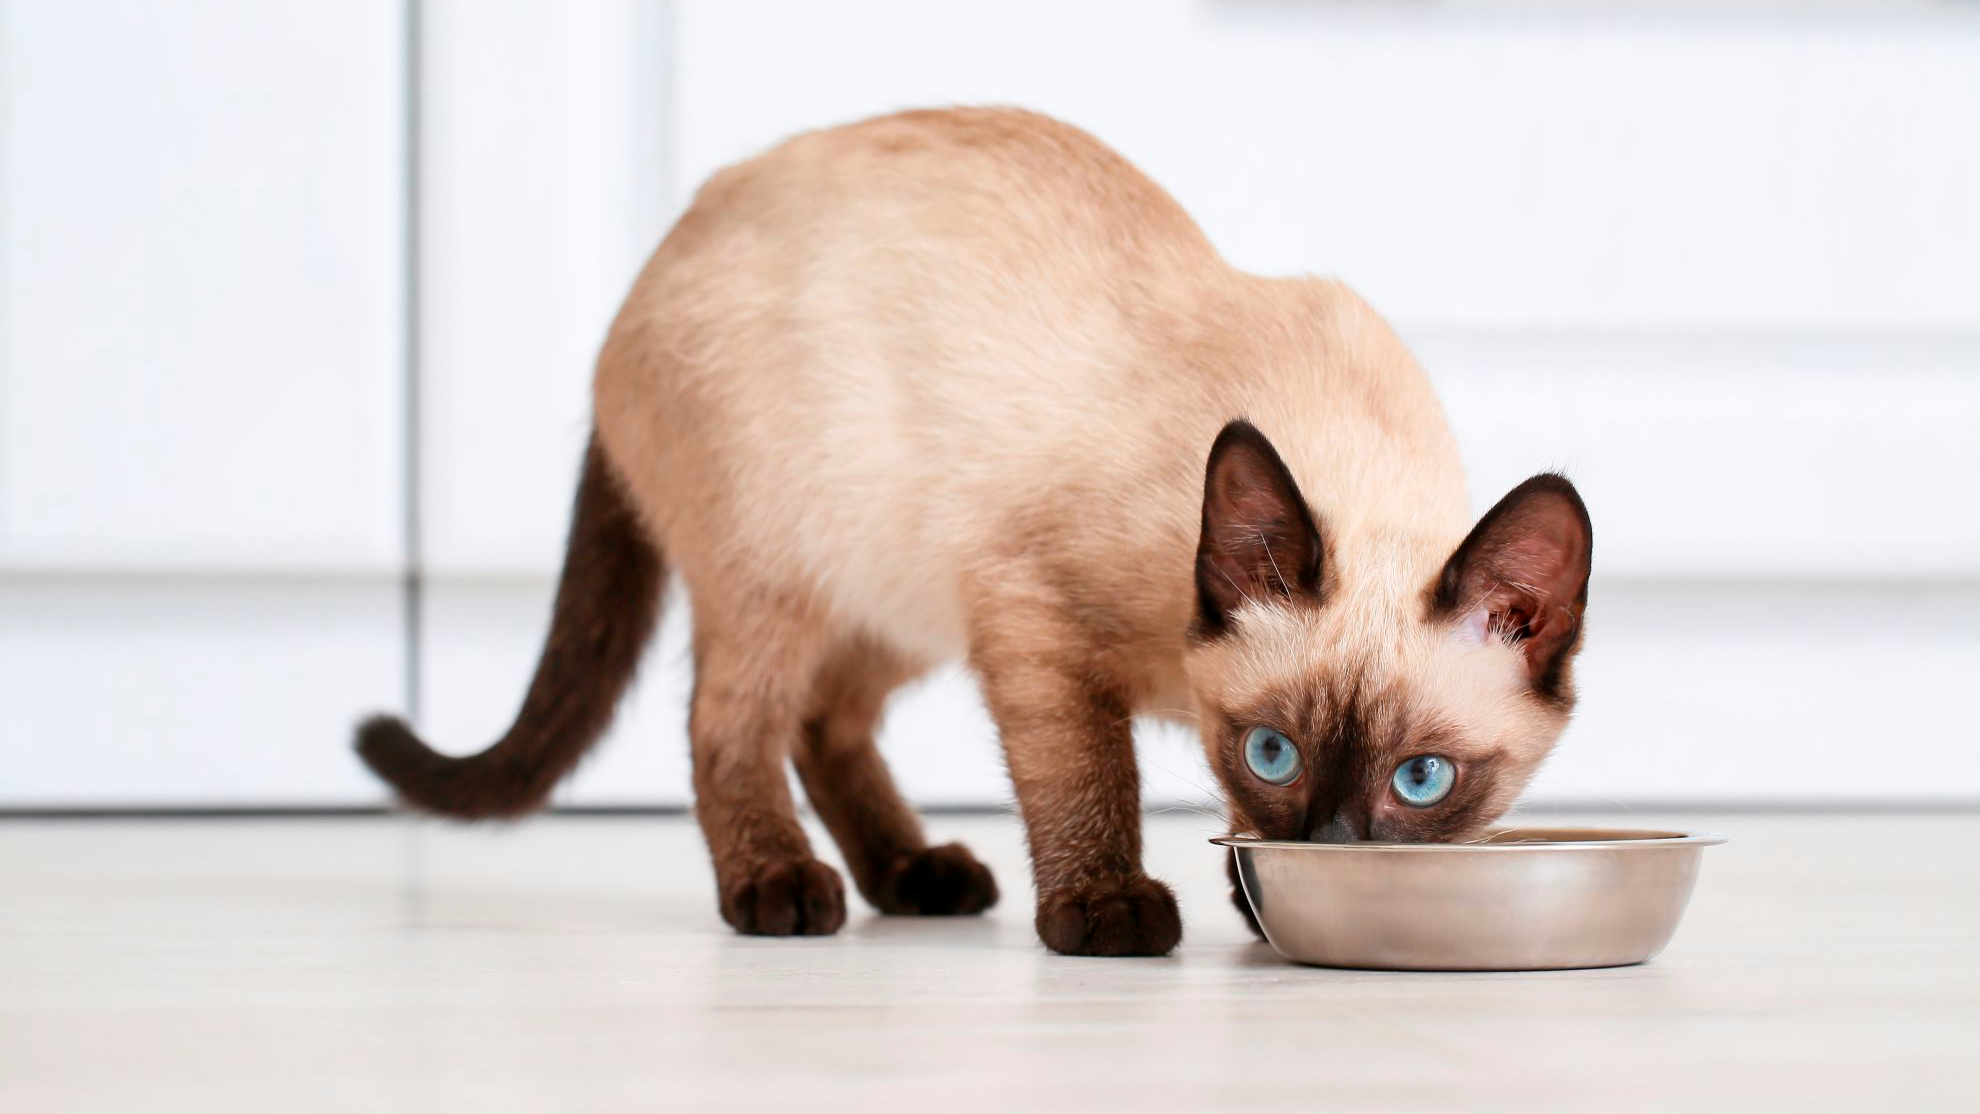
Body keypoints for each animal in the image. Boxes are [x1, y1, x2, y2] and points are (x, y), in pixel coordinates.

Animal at [356, 106, 1591, 957]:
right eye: (1274, 752)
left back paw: (914, 875)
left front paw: (1258, 905)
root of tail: (657, 260)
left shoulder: (1019, 626)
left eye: (1421, 780)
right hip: (787, 572)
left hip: (895, 597)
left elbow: (1221, 826)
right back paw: (780, 888)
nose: (1331, 851)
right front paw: (1108, 909)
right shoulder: (1034, 625)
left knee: (825, 723)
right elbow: (1086, 780)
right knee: (730, 724)